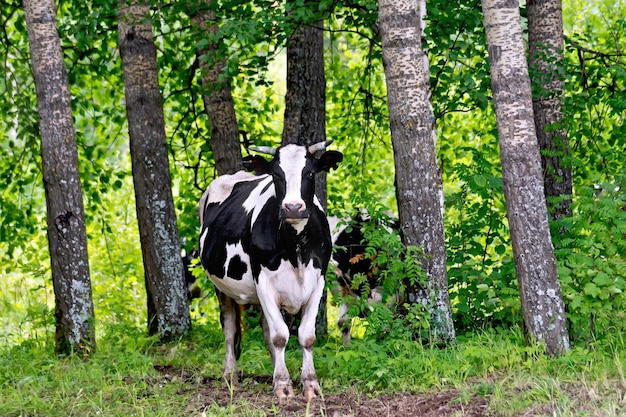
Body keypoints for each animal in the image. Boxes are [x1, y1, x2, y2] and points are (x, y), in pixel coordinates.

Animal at [197, 141, 342, 400]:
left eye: (310, 173)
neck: (296, 248)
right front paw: (283, 384)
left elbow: (306, 336)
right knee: (230, 328)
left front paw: (310, 384)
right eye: (276, 175)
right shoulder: (262, 281)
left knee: (266, 329)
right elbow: (280, 336)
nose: (293, 207)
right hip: (221, 286)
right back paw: (230, 375)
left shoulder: (318, 282)